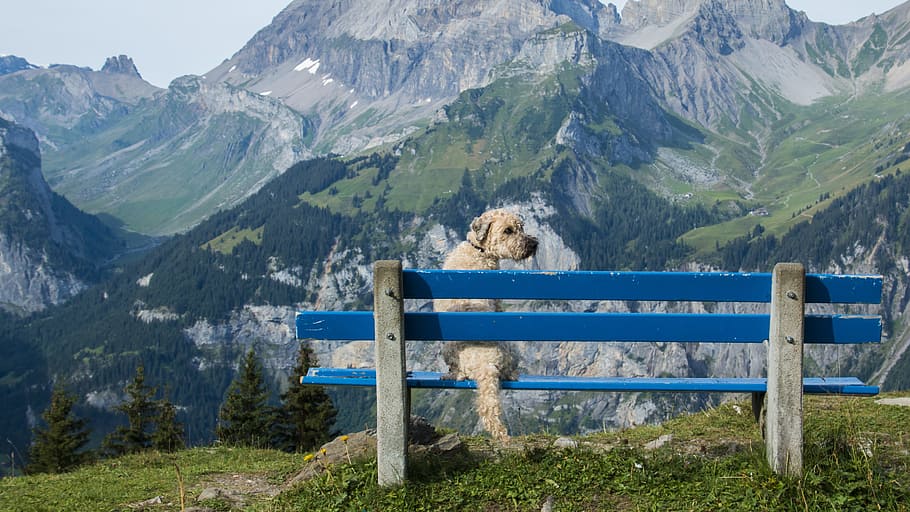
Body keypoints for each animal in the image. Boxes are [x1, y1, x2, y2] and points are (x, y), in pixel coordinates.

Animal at [432, 207, 536, 440]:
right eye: (508, 230)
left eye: (521, 227)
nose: (533, 244)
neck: (478, 250)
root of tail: (483, 363)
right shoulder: (496, 302)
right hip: (510, 348)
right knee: (509, 371)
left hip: (447, 349)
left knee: (458, 372)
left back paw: (449, 374)